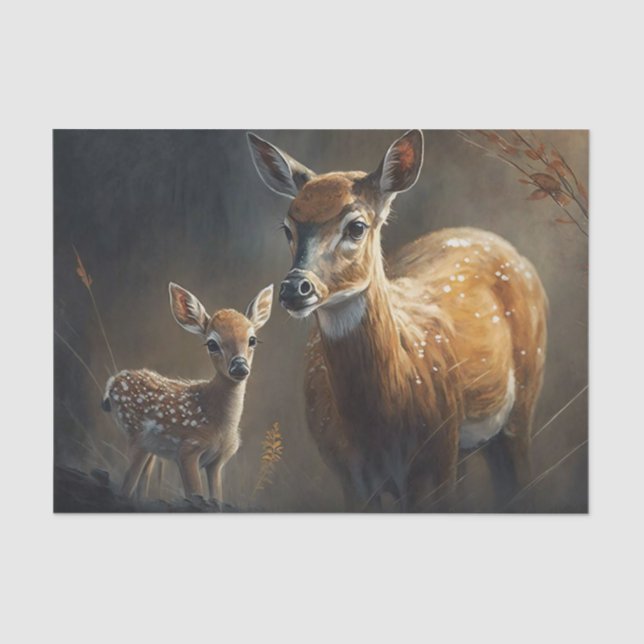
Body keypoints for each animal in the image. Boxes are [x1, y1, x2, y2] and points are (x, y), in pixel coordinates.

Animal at [101, 282, 274, 503]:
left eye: (252, 340)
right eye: (212, 343)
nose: (239, 366)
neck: (220, 427)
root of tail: (113, 381)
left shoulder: (217, 461)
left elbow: (217, 498)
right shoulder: (188, 449)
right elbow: (195, 493)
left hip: (150, 447)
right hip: (136, 435)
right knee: (125, 487)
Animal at [247, 129, 547, 512]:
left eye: (356, 226)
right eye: (288, 228)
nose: (294, 288)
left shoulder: (432, 462)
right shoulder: (349, 474)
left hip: (520, 403)